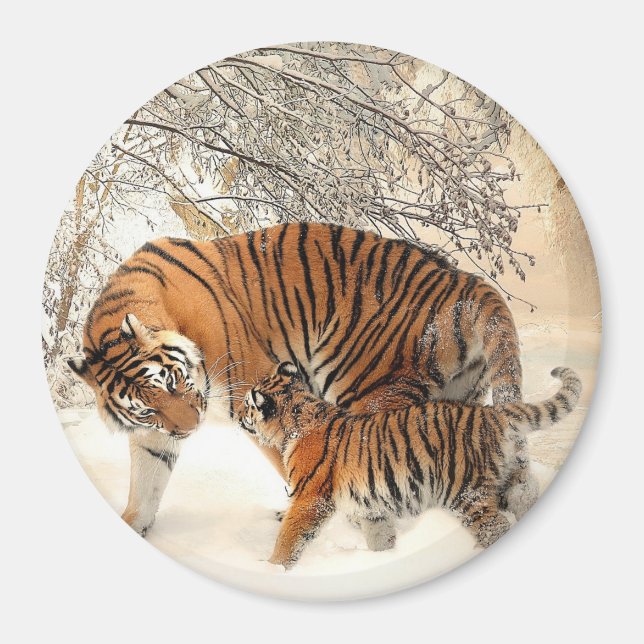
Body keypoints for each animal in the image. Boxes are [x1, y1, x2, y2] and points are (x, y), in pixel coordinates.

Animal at [67, 222, 531, 538]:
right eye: (146, 408)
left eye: (171, 382)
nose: (191, 428)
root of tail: (465, 281)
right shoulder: (154, 435)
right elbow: (144, 486)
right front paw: (134, 527)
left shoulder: (254, 390)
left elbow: (295, 466)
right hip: (459, 402)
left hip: (366, 390)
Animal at [238, 362, 581, 569]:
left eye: (247, 404)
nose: (237, 415)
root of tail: (491, 413)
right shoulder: (371, 507)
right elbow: (379, 536)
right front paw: (384, 560)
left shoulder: (310, 499)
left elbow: (289, 537)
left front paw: (272, 569)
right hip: (510, 479)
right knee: (525, 497)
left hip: (466, 493)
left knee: (495, 526)